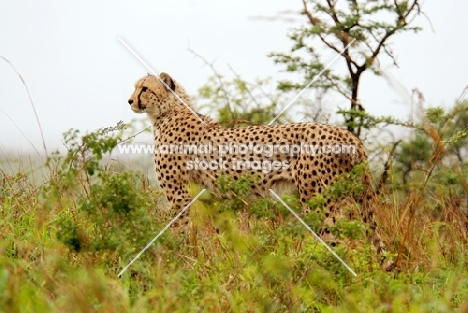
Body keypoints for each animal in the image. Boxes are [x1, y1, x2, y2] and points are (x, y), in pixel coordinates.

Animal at [127, 72, 392, 268]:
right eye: (136, 87)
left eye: (144, 89)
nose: (130, 101)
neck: (169, 112)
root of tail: (347, 134)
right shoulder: (212, 197)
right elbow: (224, 234)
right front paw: (230, 264)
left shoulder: (179, 196)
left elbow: (175, 233)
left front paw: (173, 264)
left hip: (318, 202)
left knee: (337, 246)